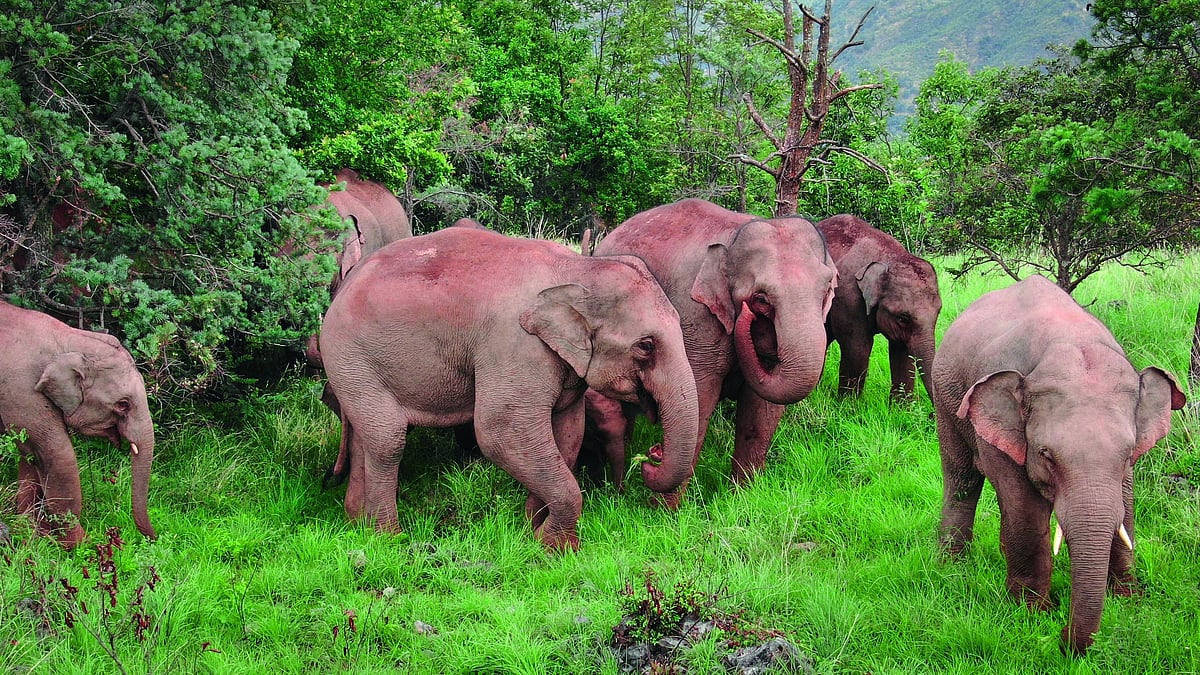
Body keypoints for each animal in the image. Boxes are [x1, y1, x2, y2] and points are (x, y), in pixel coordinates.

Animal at [0, 300, 156, 549]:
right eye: (123, 404)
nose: (155, 538)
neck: (67, 338)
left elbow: (30, 455)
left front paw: (34, 533)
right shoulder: (21, 391)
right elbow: (57, 454)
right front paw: (84, 546)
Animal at [319, 226, 700, 551]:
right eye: (646, 346)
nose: (652, 456)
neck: (578, 269)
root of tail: (343, 285)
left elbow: (568, 433)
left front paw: (531, 530)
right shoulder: (514, 346)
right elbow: (500, 432)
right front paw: (556, 547)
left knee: (366, 437)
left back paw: (358, 525)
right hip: (349, 354)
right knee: (389, 439)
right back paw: (389, 539)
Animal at [587, 198, 837, 501]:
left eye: (827, 290)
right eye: (760, 299)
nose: (652, 456)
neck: (734, 237)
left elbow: (763, 410)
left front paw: (744, 497)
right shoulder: (696, 318)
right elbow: (700, 396)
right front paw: (664, 510)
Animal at [817, 214, 941, 403]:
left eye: (938, 313)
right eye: (903, 318)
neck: (889, 257)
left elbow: (902, 351)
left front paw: (900, 407)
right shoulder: (848, 297)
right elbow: (858, 348)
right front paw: (849, 405)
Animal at [932, 275, 1186, 654]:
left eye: (1128, 454)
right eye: (1046, 455)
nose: (1061, 638)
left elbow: (1124, 507)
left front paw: (1128, 599)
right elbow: (1023, 508)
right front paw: (1032, 613)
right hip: (945, 398)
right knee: (961, 478)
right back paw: (951, 567)